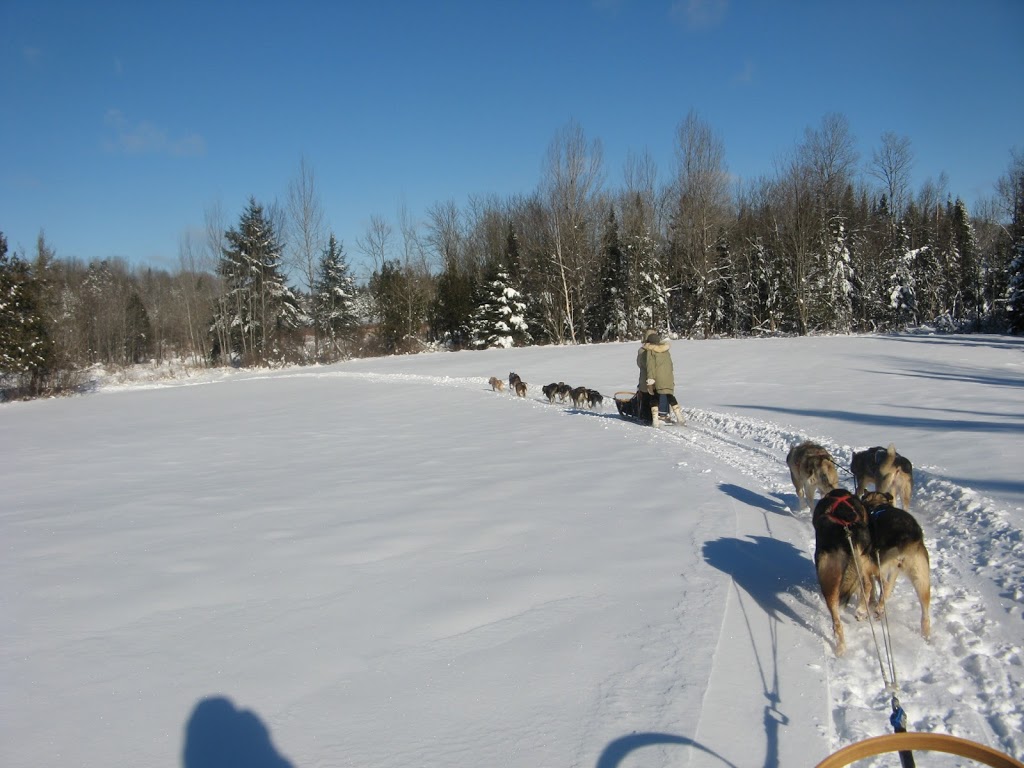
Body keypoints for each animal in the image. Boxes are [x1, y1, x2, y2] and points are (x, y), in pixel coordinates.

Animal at [860, 493, 933, 643]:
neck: (878, 505)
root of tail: (909, 539)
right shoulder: (894, 571)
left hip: (873, 564)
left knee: (877, 585)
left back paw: (863, 610)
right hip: (921, 580)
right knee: (925, 614)